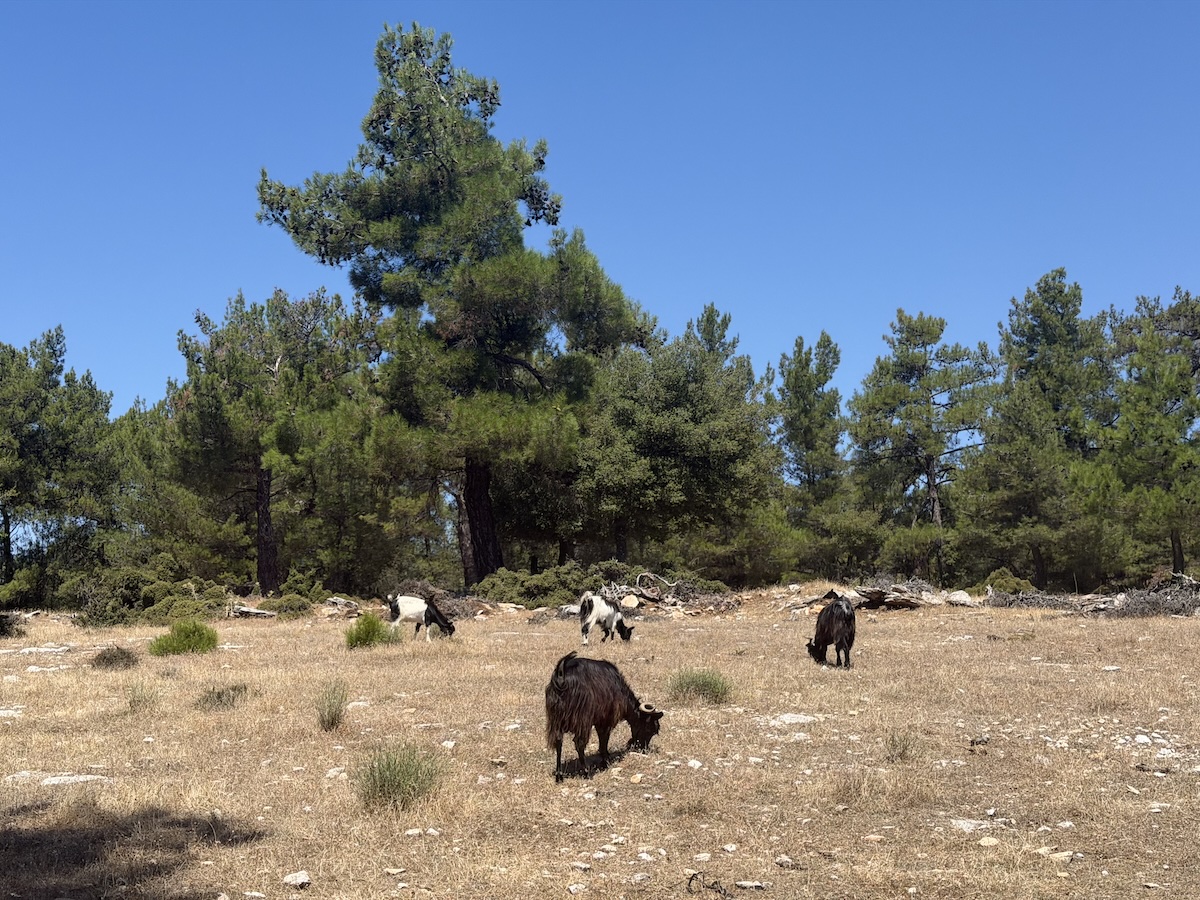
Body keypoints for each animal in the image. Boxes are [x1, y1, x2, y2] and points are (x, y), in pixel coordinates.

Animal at [544, 651, 663, 782]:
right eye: (649, 729)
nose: (643, 748)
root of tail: (561, 677)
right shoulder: (605, 720)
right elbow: (604, 740)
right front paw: (605, 761)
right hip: (583, 721)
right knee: (579, 743)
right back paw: (586, 772)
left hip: (556, 721)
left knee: (558, 742)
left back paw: (559, 776)